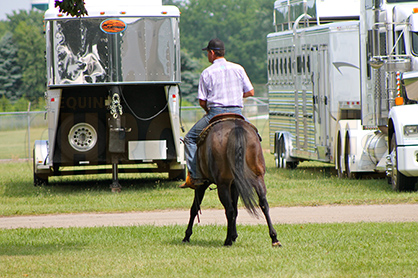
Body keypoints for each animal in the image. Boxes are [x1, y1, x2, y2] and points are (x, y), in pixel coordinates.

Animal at [182, 114, 280, 247]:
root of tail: (236, 128)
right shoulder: (235, 186)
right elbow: (237, 209)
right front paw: (234, 235)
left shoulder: (202, 185)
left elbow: (194, 208)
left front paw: (187, 236)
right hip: (258, 178)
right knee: (263, 204)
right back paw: (274, 238)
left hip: (222, 185)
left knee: (229, 210)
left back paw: (227, 241)